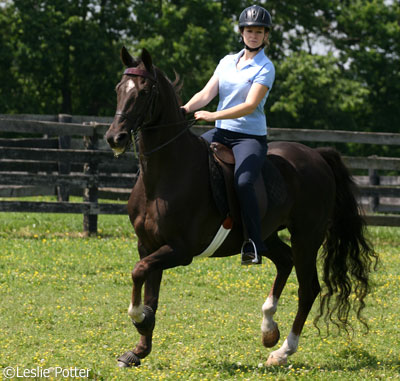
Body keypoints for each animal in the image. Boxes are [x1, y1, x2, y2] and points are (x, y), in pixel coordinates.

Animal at [104, 46, 376, 366]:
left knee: (308, 289)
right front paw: (138, 349)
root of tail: (317, 155)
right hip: (266, 235)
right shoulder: (148, 245)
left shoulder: (180, 250)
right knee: (285, 261)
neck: (163, 176)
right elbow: (149, 290)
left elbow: (138, 274)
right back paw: (268, 328)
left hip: (306, 237)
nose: (115, 137)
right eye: (118, 89)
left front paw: (138, 318)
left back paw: (283, 351)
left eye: (144, 92)